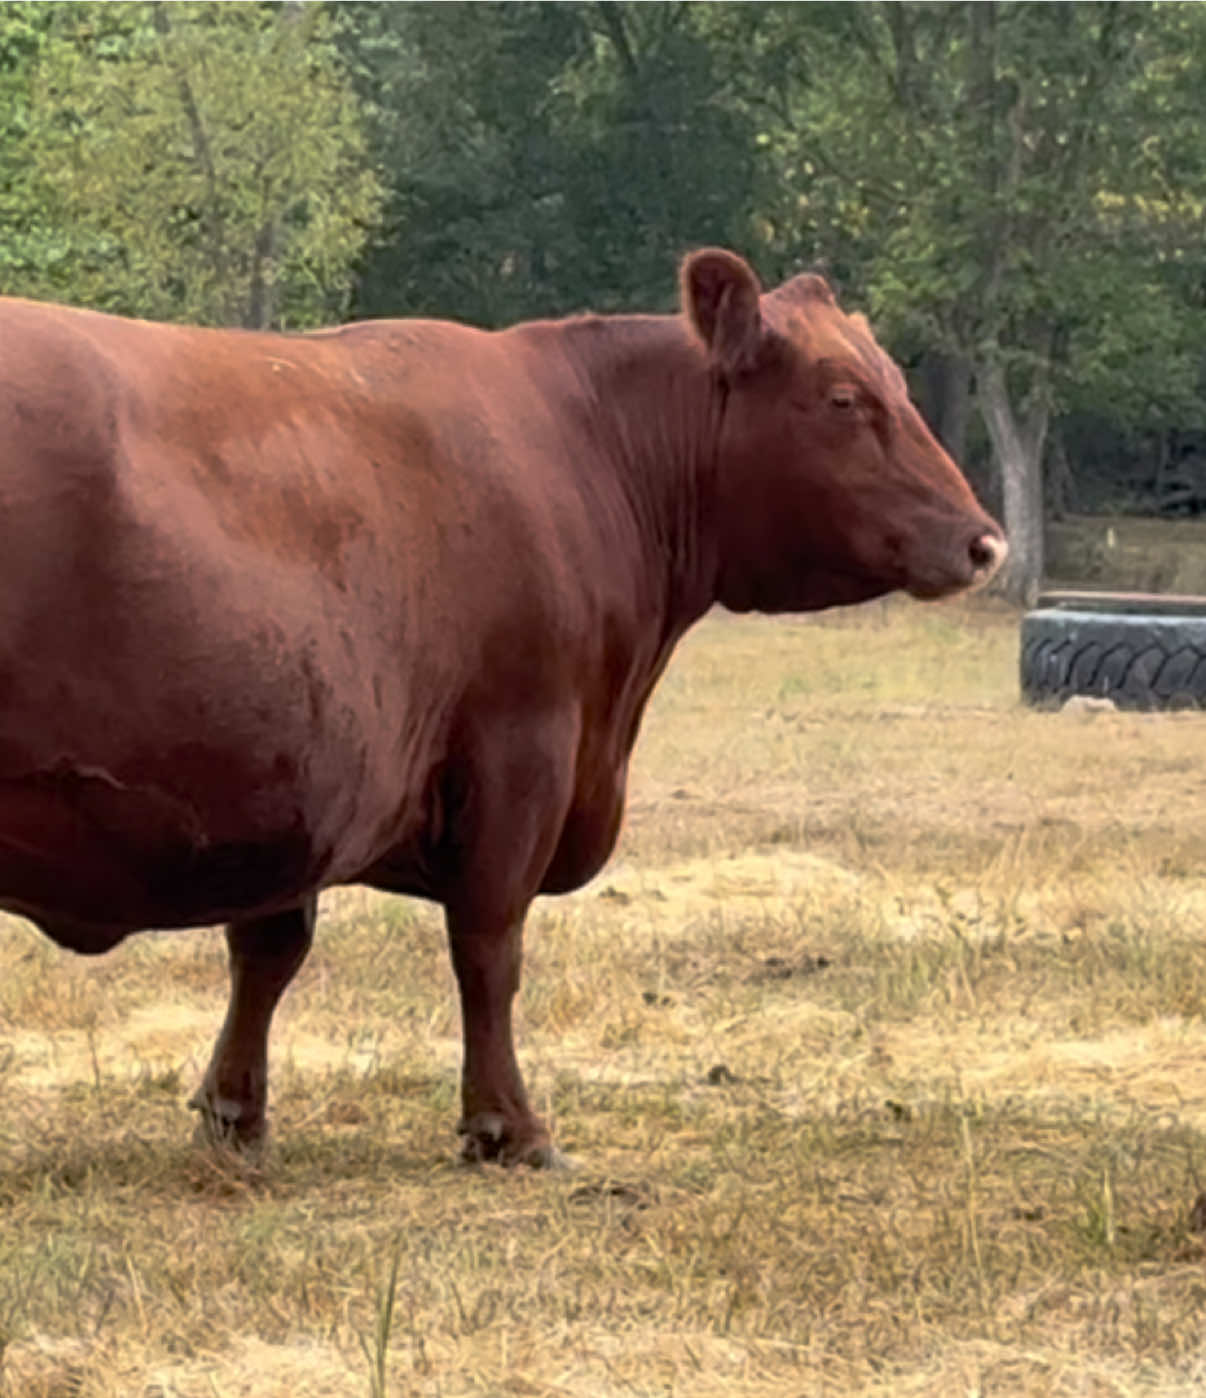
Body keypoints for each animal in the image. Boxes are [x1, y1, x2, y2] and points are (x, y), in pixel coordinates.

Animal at [0, 249, 1004, 1167]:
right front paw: (509, 1126)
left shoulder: (306, 780)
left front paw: (235, 1118)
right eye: (843, 399)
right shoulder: (520, 750)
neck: (587, 446)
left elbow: (270, 947)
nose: (983, 542)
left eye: (895, 383)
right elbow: (488, 947)